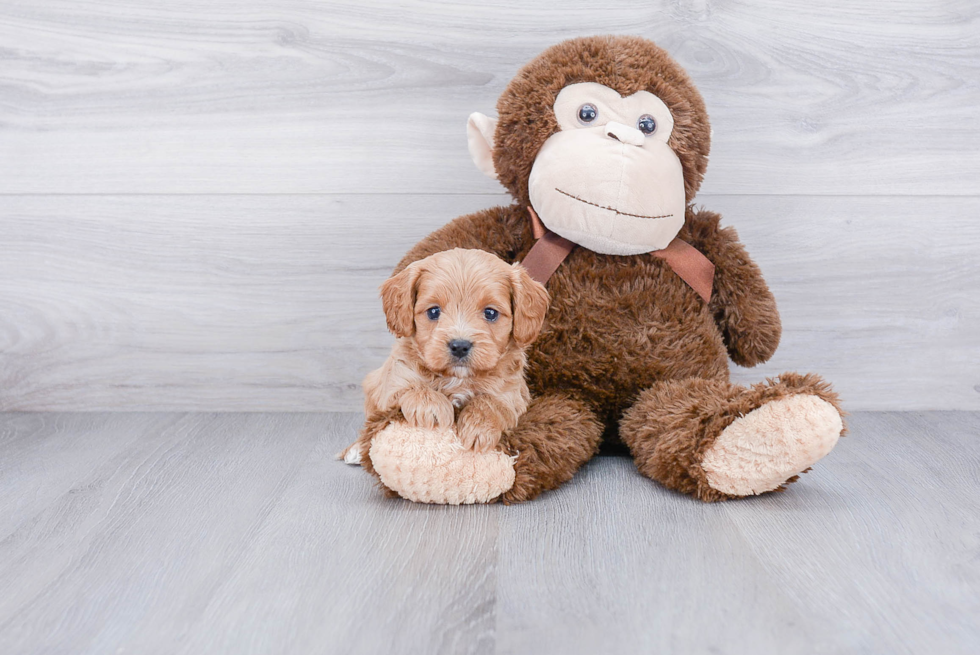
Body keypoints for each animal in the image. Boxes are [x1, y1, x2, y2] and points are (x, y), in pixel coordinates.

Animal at [340, 249, 548, 464]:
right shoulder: (393, 382)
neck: (457, 378)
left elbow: (491, 402)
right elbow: (412, 387)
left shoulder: (512, 395)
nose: (460, 346)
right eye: (433, 311)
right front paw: (433, 407)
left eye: (490, 313)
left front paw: (479, 427)